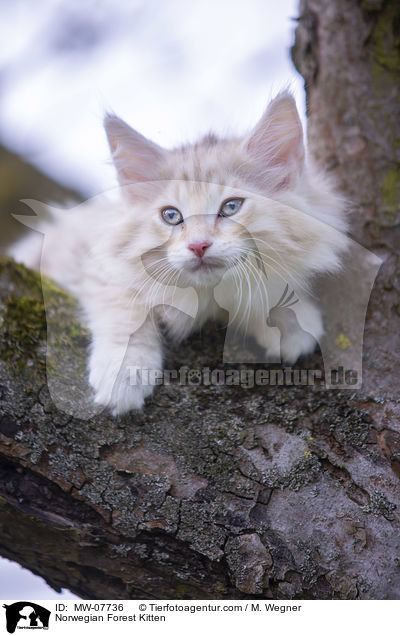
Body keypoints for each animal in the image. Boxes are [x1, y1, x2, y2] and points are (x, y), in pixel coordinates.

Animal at [9, 92, 346, 414]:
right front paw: (123, 374)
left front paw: (288, 321)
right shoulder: (84, 256)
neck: (205, 299)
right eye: (171, 216)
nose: (198, 245)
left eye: (231, 207)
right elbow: (124, 307)